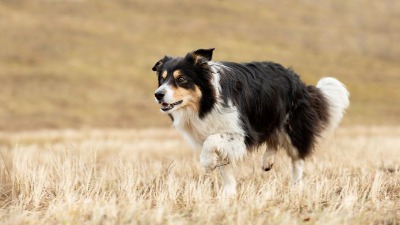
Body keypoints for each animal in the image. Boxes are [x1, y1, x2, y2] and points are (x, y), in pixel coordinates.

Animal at [152, 48, 348, 196]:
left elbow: (211, 142)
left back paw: (296, 186)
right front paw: (228, 193)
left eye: (181, 79)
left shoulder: (242, 132)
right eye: (162, 79)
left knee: (297, 158)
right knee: (273, 138)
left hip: (292, 125)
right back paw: (267, 161)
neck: (206, 103)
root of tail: (298, 81)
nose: (158, 94)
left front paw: (207, 163)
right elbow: (224, 166)